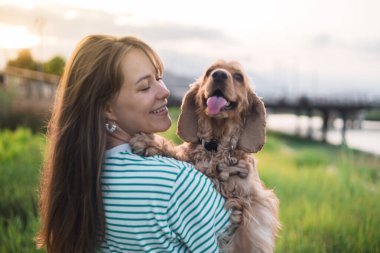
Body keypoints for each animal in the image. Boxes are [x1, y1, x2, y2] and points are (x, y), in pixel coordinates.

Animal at [130, 59, 280, 253]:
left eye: (238, 77)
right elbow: (183, 155)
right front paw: (149, 143)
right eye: (210, 71)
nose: (219, 75)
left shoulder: (249, 198)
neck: (215, 145)